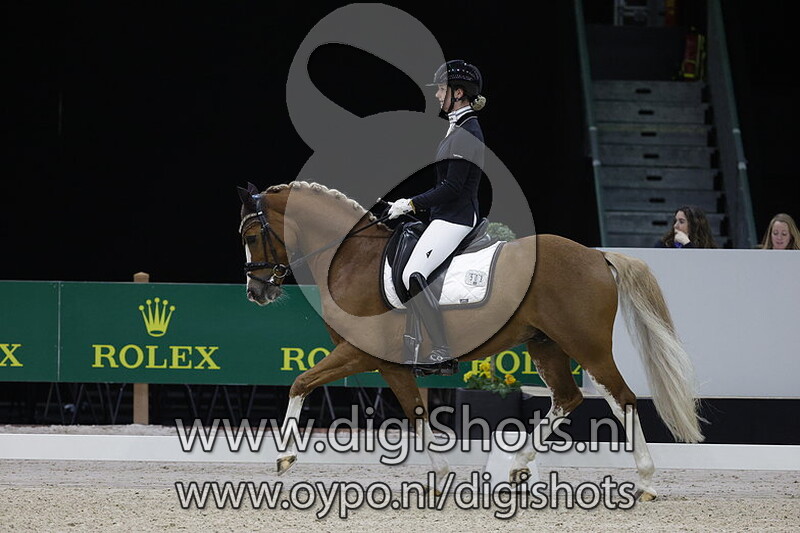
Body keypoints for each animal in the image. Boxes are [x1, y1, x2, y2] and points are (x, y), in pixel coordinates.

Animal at [237, 180, 704, 501]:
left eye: (251, 236)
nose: (256, 293)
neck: (353, 259)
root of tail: (595, 254)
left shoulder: (358, 353)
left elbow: (300, 382)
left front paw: (283, 456)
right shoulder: (390, 365)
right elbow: (418, 415)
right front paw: (442, 477)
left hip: (584, 343)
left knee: (621, 398)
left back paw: (645, 481)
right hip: (545, 344)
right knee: (567, 398)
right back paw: (518, 467)